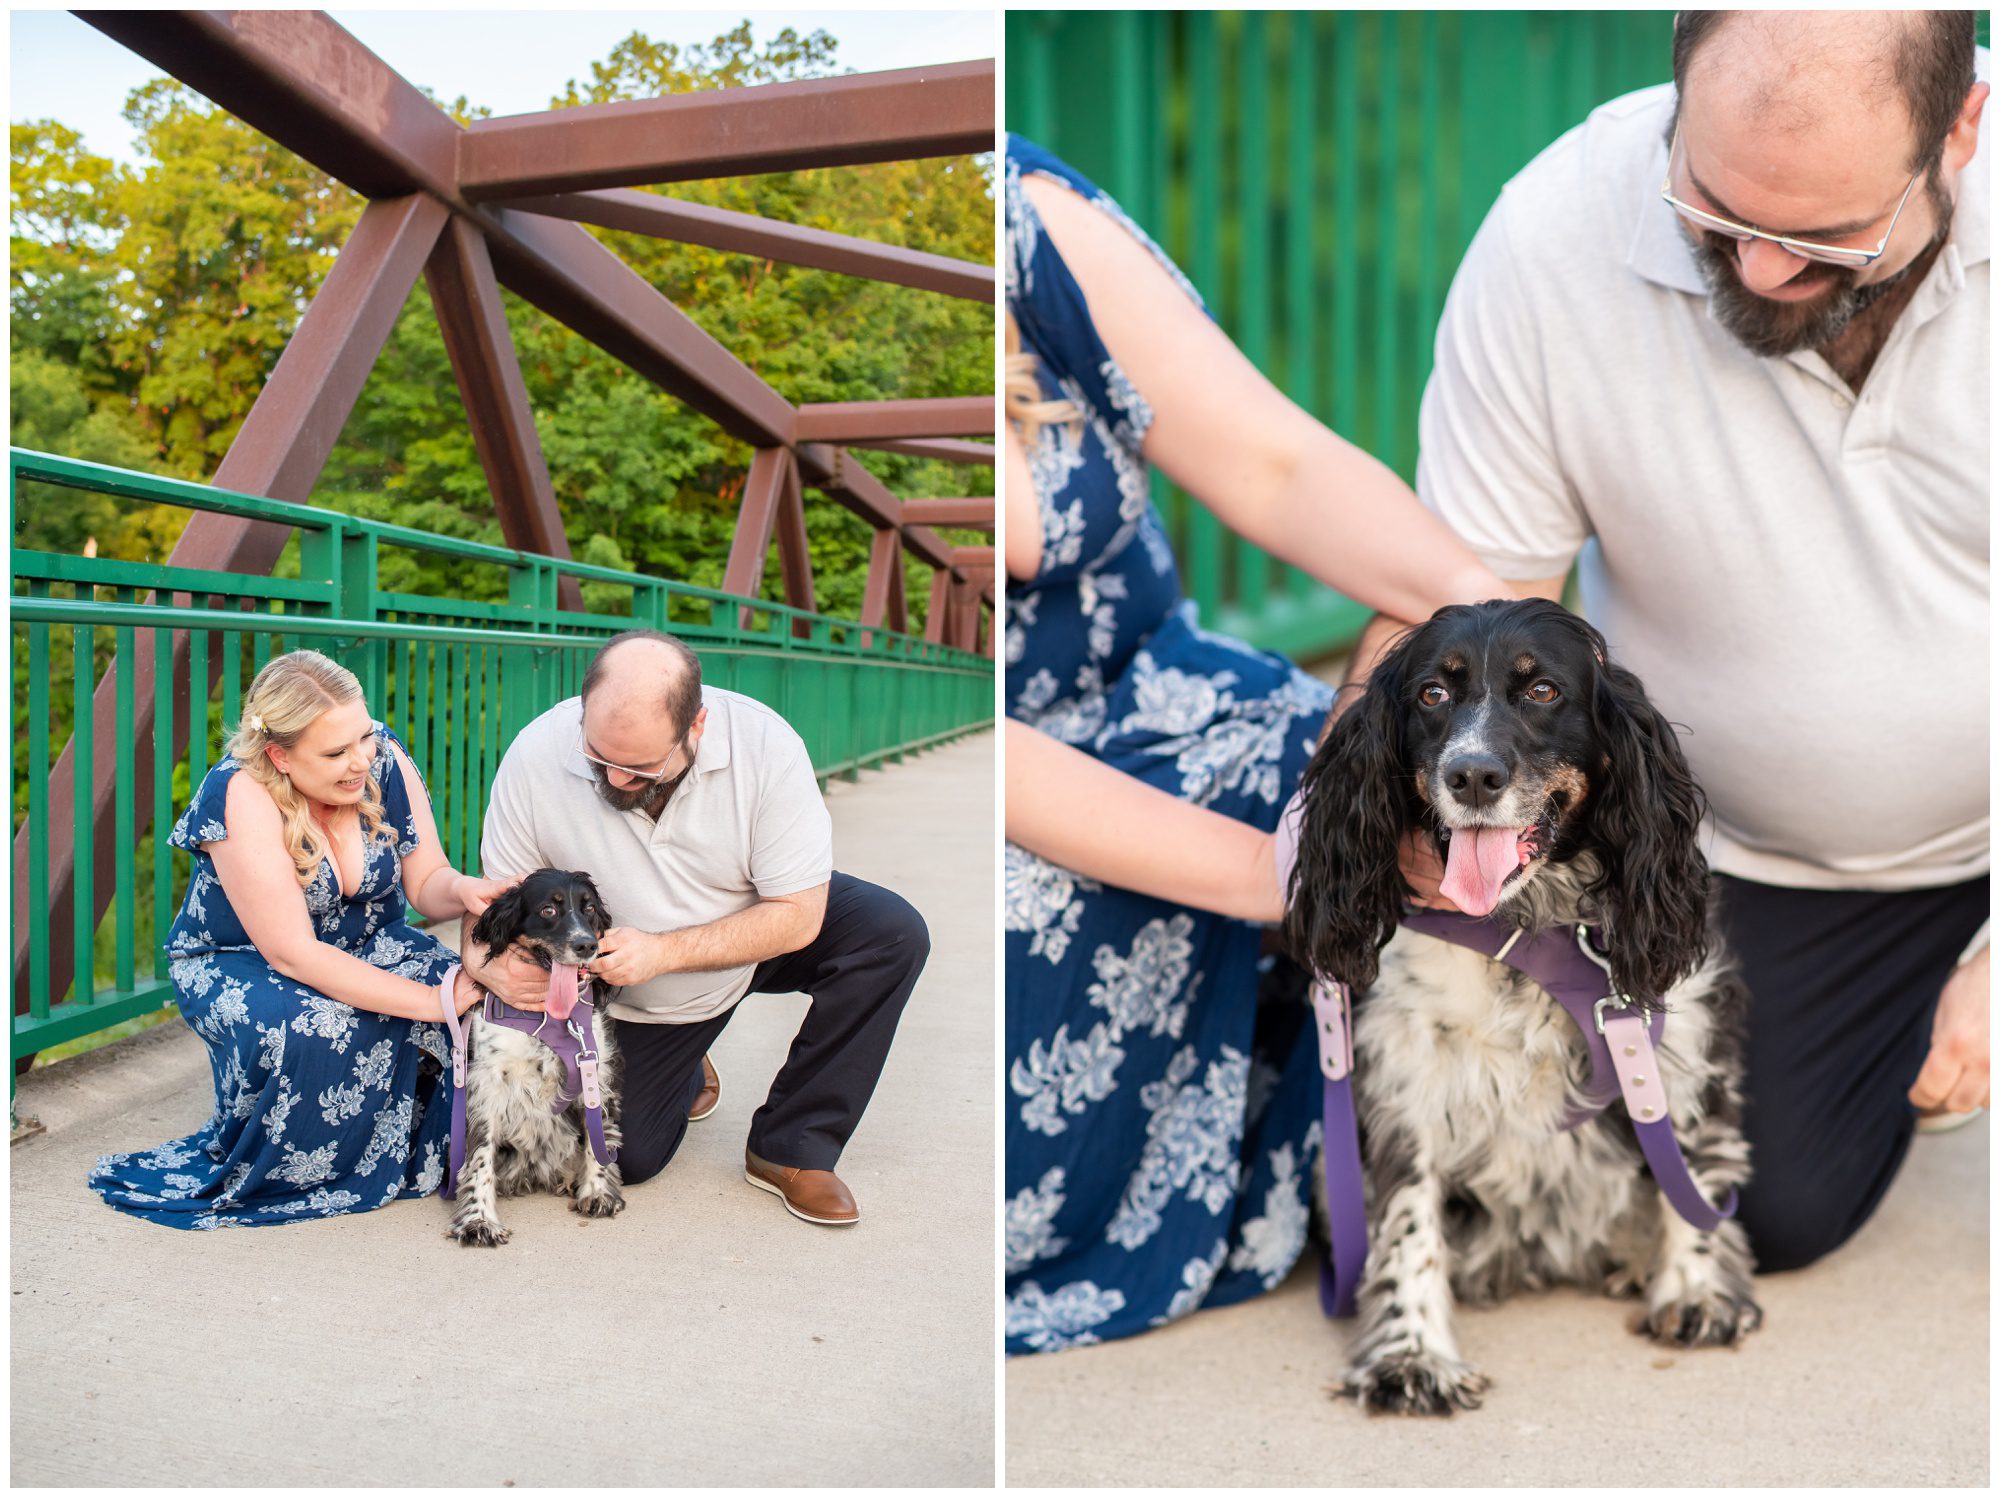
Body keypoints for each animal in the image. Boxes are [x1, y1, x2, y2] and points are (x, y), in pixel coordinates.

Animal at [452, 864, 624, 1240]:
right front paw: (478, 1219)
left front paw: (598, 1192)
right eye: (548, 910)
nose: (586, 944)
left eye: (590, 908)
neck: (550, 1017)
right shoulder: (487, 1084)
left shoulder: (594, 1071)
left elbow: (598, 1137)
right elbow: (480, 1156)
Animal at [1280, 596, 1768, 1416]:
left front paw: (1696, 1288)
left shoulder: (1676, 1036)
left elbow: (1691, 1171)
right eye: (1432, 694)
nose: (1473, 774)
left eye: (1543, 691)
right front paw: (1412, 1355)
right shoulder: (1405, 1075)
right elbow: (1408, 1223)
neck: (1521, 926)